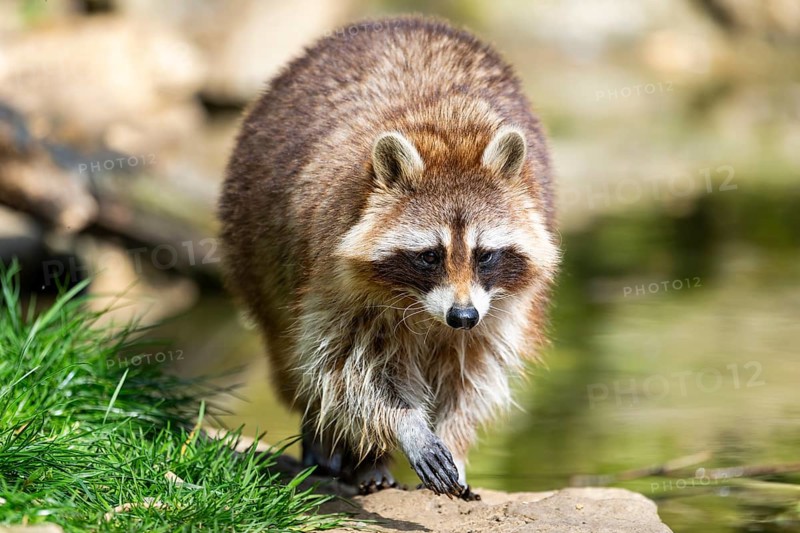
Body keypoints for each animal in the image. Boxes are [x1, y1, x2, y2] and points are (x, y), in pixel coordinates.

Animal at [219, 16, 559, 499]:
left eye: (485, 255)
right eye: (430, 256)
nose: (461, 316)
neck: (448, 130)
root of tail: (393, 19)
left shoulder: (497, 307)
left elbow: (471, 375)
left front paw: (453, 437)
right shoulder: (333, 277)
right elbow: (346, 370)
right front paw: (406, 426)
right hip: (253, 251)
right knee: (296, 358)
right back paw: (344, 448)